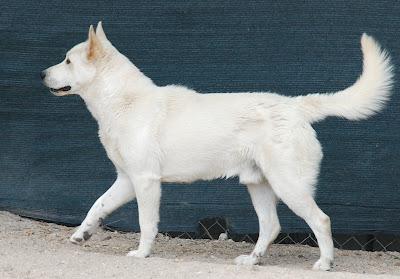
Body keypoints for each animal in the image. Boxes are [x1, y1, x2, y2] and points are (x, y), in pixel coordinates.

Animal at [41, 21, 394, 272]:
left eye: (68, 61)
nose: (42, 74)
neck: (123, 100)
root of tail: (296, 107)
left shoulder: (145, 182)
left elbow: (146, 224)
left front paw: (142, 253)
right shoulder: (126, 181)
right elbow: (97, 205)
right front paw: (82, 234)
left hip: (288, 185)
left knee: (321, 220)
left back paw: (325, 263)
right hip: (259, 186)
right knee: (271, 226)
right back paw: (253, 260)